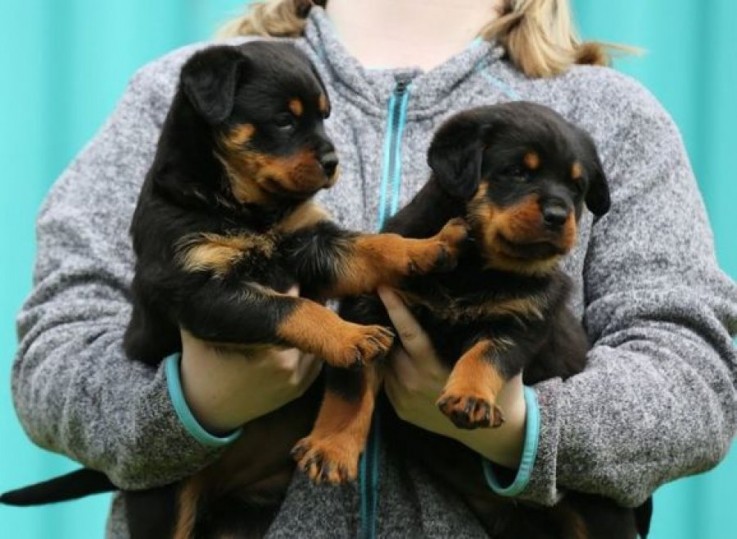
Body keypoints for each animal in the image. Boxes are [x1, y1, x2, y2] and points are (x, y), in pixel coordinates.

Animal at [0, 42, 466, 539]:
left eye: (324, 116)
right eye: (283, 120)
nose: (331, 163)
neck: (245, 207)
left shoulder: (311, 244)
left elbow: (371, 246)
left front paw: (428, 247)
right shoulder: (202, 291)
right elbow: (292, 308)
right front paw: (350, 337)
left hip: (244, 515)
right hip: (163, 501)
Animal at [294, 102, 648, 539]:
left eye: (577, 187)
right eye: (517, 171)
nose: (558, 214)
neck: (477, 268)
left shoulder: (522, 321)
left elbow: (485, 356)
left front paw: (471, 398)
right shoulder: (369, 314)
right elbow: (352, 389)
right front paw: (331, 448)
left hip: (602, 515)